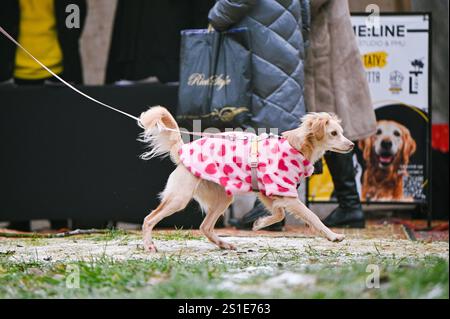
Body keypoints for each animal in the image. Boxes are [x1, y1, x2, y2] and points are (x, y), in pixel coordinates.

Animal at [139, 106, 354, 254]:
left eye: (342, 132)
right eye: (334, 133)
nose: (352, 145)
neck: (298, 147)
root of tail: (183, 150)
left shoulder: (269, 192)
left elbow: (278, 214)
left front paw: (259, 223)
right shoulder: (286, 193)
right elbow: (312, 217)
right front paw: (333, 236)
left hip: (224, 198)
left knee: (205, 226)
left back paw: (223, 244)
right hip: (179, 199)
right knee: (149, 219)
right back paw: (149, 246)